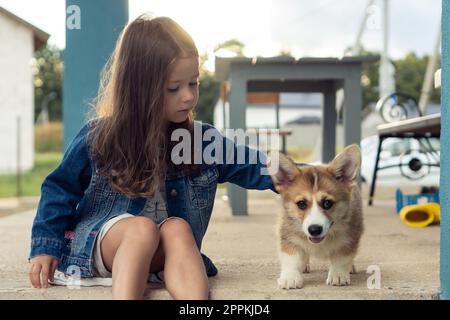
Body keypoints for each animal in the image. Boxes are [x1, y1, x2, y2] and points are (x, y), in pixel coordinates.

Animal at [268, 144, 362, 288]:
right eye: (301, 204)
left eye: (327, 203)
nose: (314, 230)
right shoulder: (289, 236)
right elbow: (291, 259)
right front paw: (290, 277)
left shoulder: (349, 238)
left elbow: (341, 258)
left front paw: (338, 275)